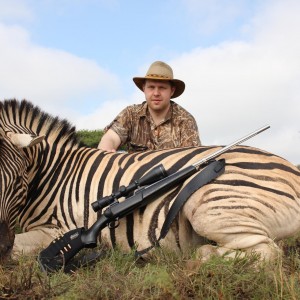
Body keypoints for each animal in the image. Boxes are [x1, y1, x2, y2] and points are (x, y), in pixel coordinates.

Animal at [0, 98, 298, 262]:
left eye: (18, 180)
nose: (1, 243)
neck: (55, 174)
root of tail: (292, 172)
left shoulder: (57, 230)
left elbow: (19, 251)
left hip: (205, 204)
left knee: (269, 253)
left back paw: (200, 257)